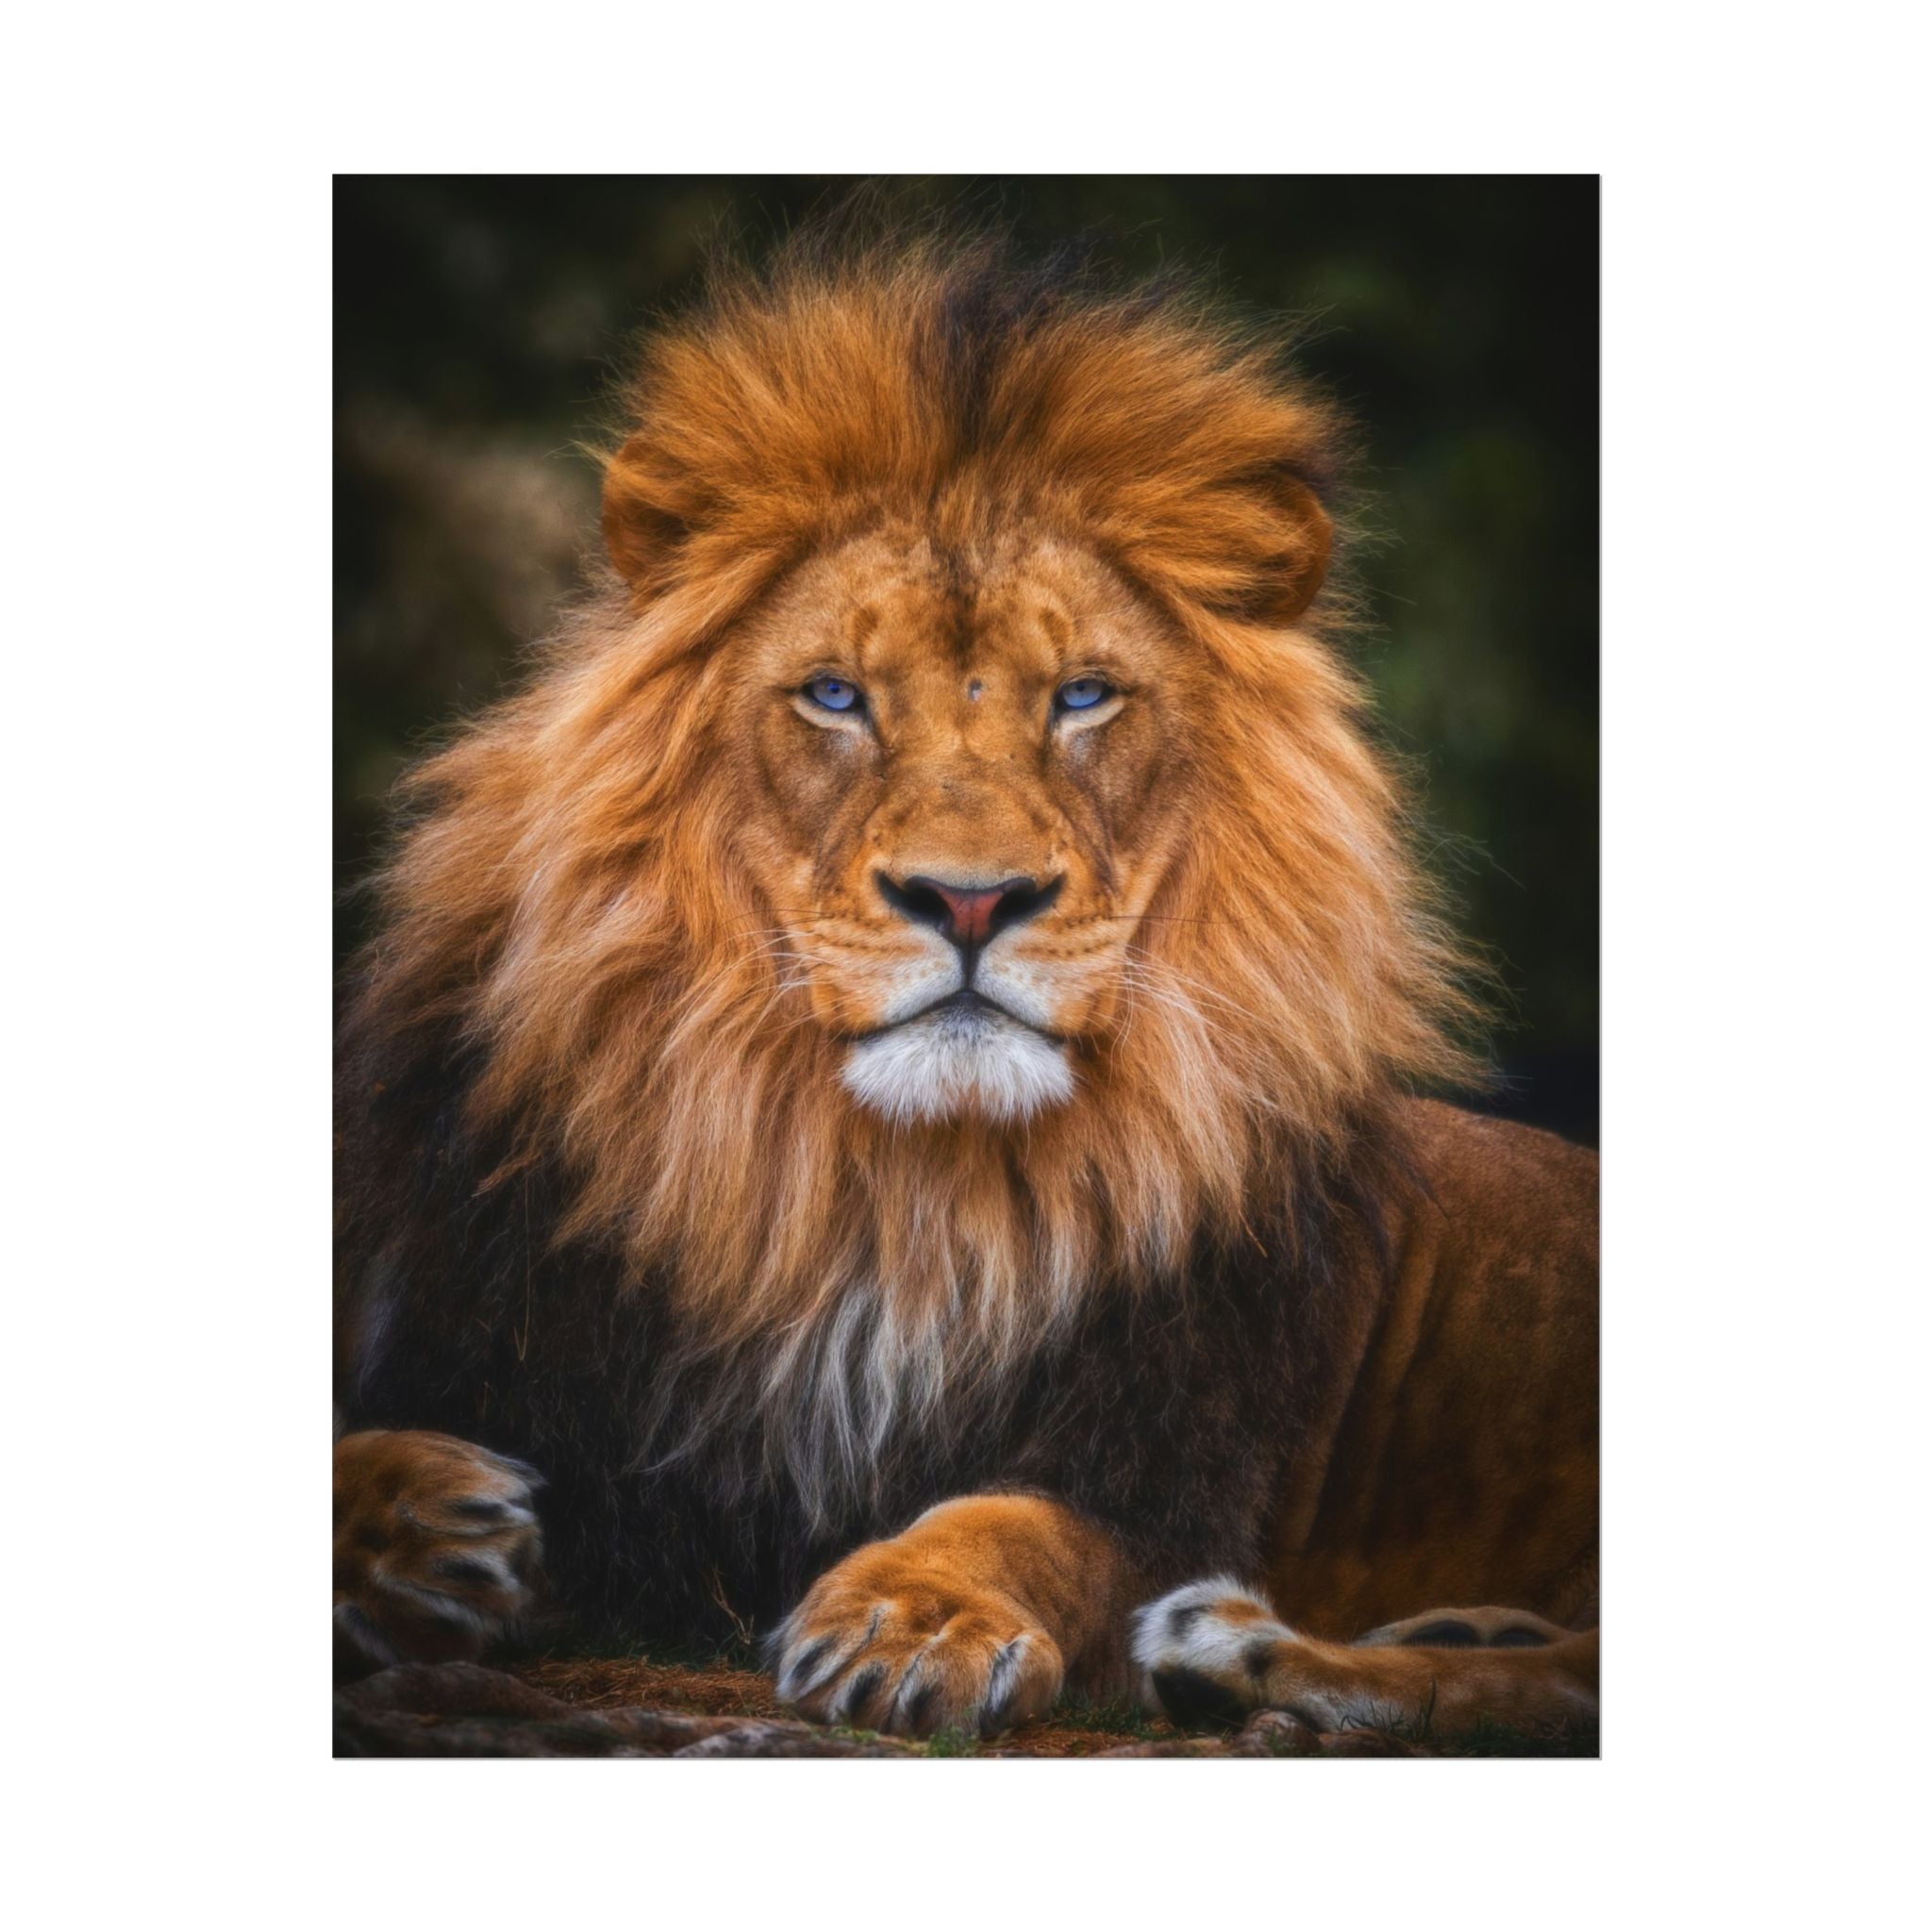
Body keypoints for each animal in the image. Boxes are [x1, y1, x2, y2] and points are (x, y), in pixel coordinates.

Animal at [334, 228, 1599, 1747]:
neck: (884, 1195)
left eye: (1083, 696)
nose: (972, 900)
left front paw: (912, 1616)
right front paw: (421, 1521)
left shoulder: (1168, 1465)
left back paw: (1244, 1650)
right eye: (833, 695)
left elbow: (1018, 1523)